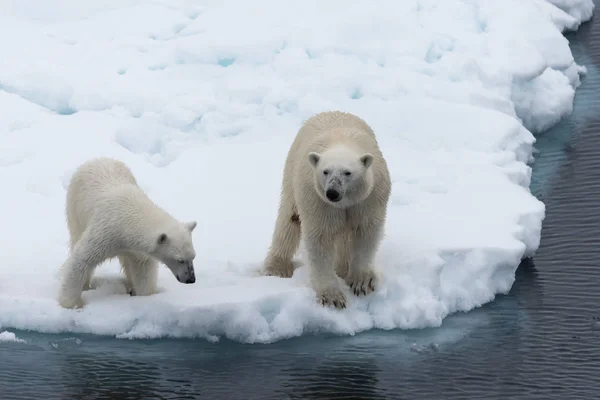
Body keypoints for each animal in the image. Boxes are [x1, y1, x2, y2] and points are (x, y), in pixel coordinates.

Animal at [57, 158, 197, 308]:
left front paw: (145, 296)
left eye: (193, 257)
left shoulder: (136, 248)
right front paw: (72, 304)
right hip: (75, 209)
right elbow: (82, 259)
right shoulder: (105, 231)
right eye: (180, 259)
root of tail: (97, 159)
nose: (191, 279)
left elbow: (143, 270)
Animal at [264, 111, 392, 310]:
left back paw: (343, 268)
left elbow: (365, 232)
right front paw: (332, 297)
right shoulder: (317, 200)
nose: (332, 192)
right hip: (292, 170)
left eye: (347, 172)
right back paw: (277, 267)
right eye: (325, 171)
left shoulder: (368, 198)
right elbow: (321, 238)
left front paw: (361, 282)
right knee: (289, 218)